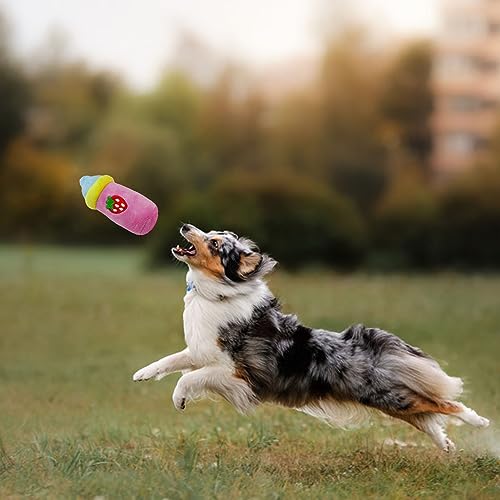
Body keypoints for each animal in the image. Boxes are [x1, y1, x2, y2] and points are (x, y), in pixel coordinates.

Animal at [133, 225, 488, 452]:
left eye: (216, 244)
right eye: (208, 234)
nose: (185, 225)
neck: (216, 294)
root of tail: (372, 346)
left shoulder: (238, 373)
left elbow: (189, 377)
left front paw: (179, 398)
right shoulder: (202, 350)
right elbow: (173, 359)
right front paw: (142, 374)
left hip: (389, 394)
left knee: (446, 403)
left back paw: (480, 421)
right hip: (390, 400)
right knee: (427, 417)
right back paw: (446, 444)